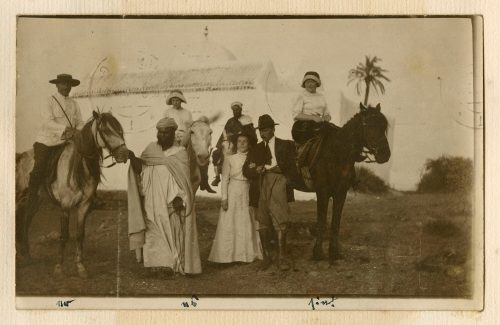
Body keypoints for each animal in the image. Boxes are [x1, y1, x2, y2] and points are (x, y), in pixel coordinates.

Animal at [16, 110, 129, 276]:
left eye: (120, 130)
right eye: (105, 130)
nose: (125, 154)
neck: (79, 167)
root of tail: (20, 157)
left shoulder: (84, 206)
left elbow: (80, 235)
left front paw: (80, 267)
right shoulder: (65, 206)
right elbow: (64, 235)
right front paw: (59, 267)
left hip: (35, 201)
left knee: (25, 220)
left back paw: (27, 255)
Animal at [296, 102, 390, 264]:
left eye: (384, 126)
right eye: (370, 125)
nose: (385, 154)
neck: (336, 153)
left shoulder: (341, 192)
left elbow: (336, 222)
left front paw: (334, 253)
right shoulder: (322, 192)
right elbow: (322, 222)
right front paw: (318, 254)